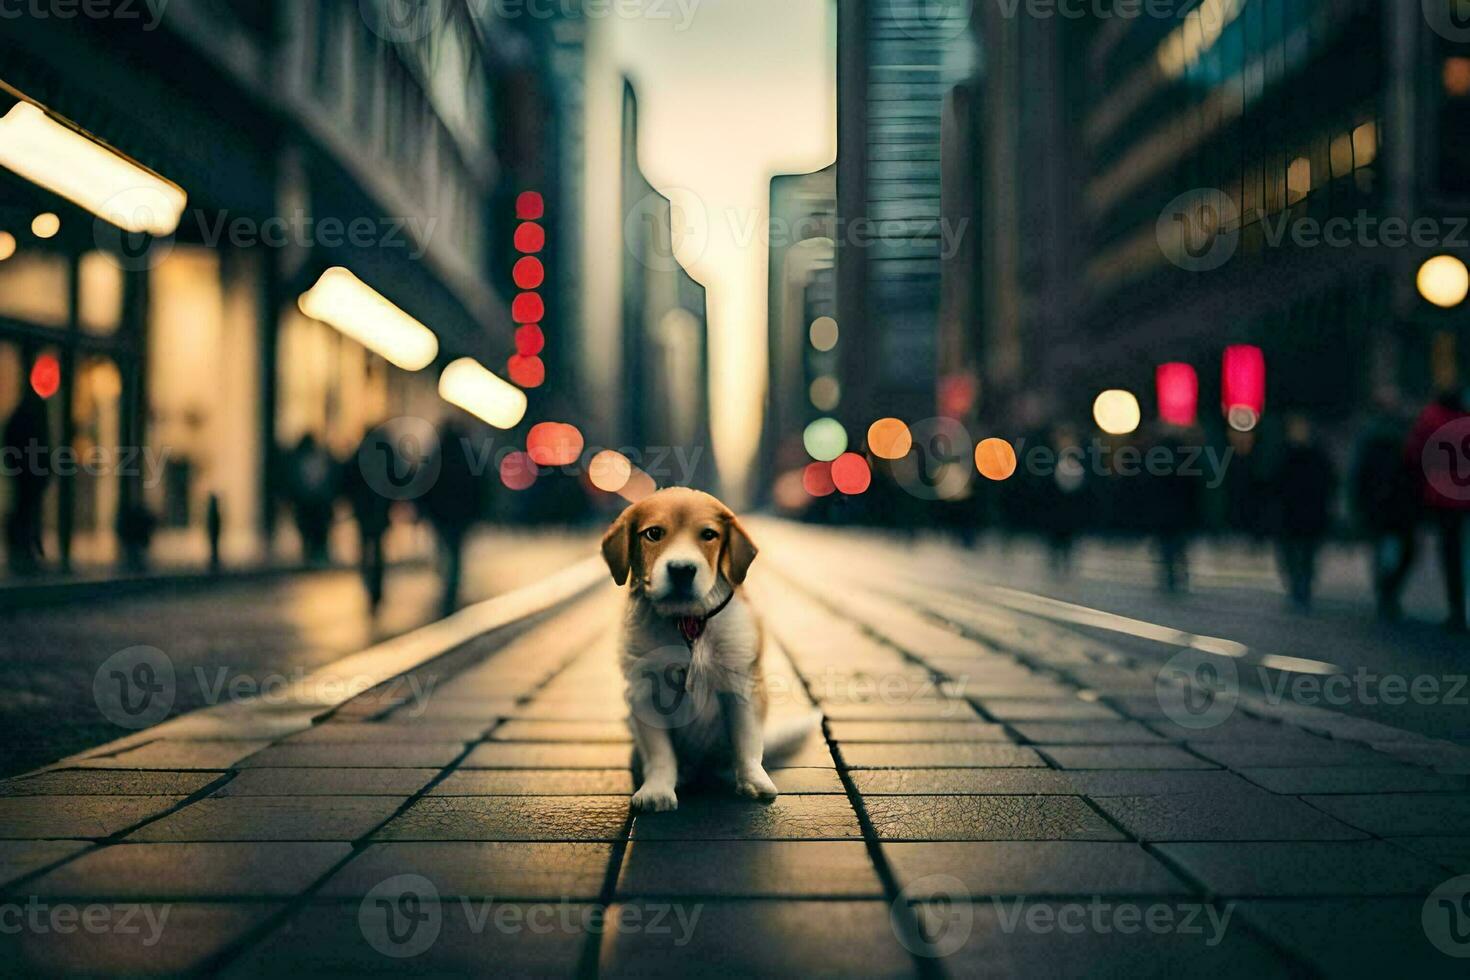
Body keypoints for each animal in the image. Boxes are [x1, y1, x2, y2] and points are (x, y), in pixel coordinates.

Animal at [599, 487, 817, 811]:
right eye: (653, 533)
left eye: (709, 534)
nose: (682, 570)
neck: (687, 621)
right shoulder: (642, 692)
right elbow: (660, 752)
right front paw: (657, 790)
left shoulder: (742, 684)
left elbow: (746, 740)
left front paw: (753, 781)